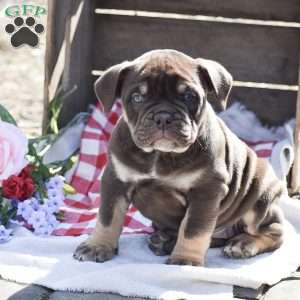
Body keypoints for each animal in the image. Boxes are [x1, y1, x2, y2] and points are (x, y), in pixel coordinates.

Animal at [72, 49, 284, 268]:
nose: (163, 116)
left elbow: (193, 229)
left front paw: (185, 260)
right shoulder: (115, 180)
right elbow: (108, 217)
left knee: (273, 231)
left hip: (260, 197)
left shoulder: (206, 191)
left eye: (189, 96)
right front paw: (97, 246)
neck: (160, 154)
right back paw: (164, 241)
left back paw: (243, 244)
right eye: (137, 97)